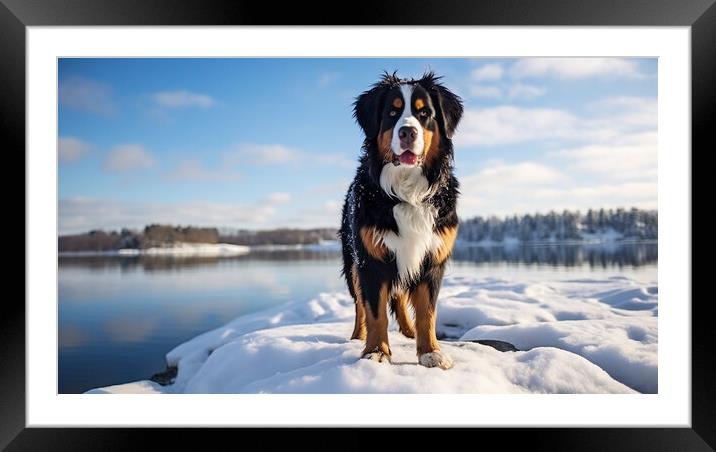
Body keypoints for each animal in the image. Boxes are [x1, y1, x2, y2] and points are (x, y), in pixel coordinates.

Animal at [340, 69, 464, 368]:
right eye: (392, 112)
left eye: (424, 113)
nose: (408, 132)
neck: (407, 190)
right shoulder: (371, 259)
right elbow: (375, 312)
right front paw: (376, 351)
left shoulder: (431, 259)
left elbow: (427, 312)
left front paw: (430, 351)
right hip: (352, 263)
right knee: (360, 305)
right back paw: (357, 336)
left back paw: (408, 332)